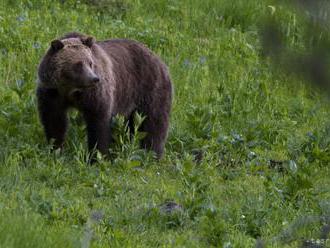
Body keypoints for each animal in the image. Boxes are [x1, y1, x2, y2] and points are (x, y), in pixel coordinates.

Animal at [37, 32, 173, 159]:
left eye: (90, 63)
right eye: (78, 64)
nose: (94, 79)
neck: (71, 90)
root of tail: (157, 57)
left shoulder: (95, 95)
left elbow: (98, 123)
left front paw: (97, 156)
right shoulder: (52, 93)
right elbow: (54, 121)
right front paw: (55, 149)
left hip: (150, 89)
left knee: (155, 123)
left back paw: (152, 154)